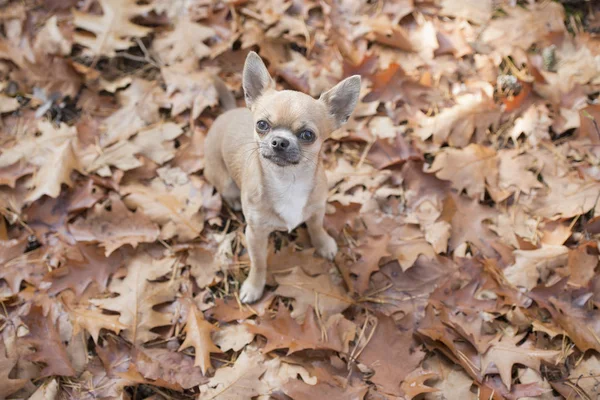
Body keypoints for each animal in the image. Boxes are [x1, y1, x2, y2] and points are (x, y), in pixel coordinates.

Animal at [204, 53, 358, 304]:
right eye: (262, 125)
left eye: (308, 135)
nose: (279, 141)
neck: (288, 181)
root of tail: (228, 112)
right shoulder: (255, 234)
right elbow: (258, 263)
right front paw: (254, 286)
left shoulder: (317, 210)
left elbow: (316, 227)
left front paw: (323, 243)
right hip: (224, 182)